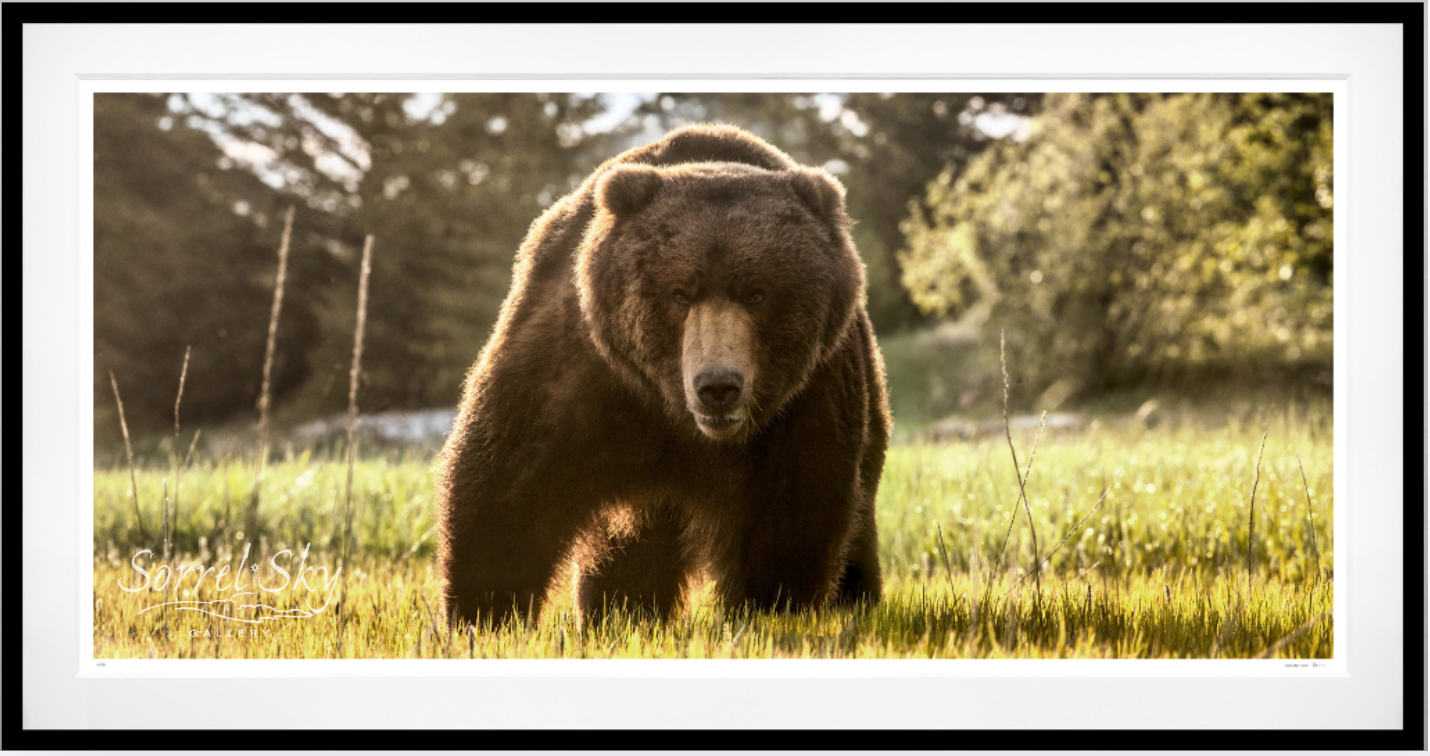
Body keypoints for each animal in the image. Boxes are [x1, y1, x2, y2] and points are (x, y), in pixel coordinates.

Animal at [435, 123, 890, 630]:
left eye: (757, 293)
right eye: (679, 293)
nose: (718, 387)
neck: (676, 414)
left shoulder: (805, 400)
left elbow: (791, 518)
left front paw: (770, 613)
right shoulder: (582, 369)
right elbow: (507, 482)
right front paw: (484, 614)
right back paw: (621, 612)